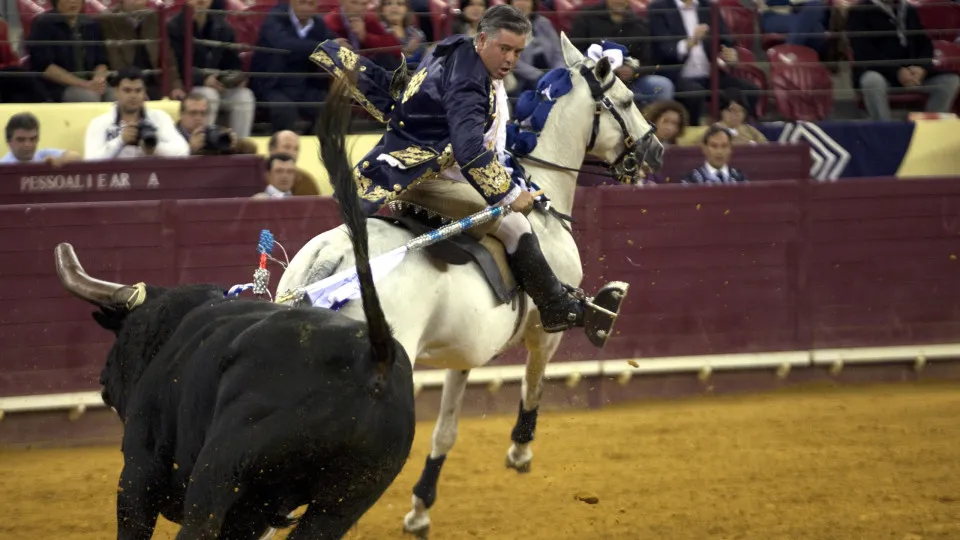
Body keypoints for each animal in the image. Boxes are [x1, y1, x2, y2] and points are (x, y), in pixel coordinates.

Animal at [52, 81, 412, 540]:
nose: (101, 383)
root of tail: (373, 358)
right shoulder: (254, 513)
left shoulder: (138, 472)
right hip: (347, 498)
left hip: (221, 467)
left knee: (199, 524)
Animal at [276, 33, 660, 536]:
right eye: (628, 100)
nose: (656, 150)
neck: (544, 193)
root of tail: (331, 260)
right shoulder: (544, 333)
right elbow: (534, 381)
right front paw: (519, 450)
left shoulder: (465, 353)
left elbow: (446, 429)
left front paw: (420, 508)